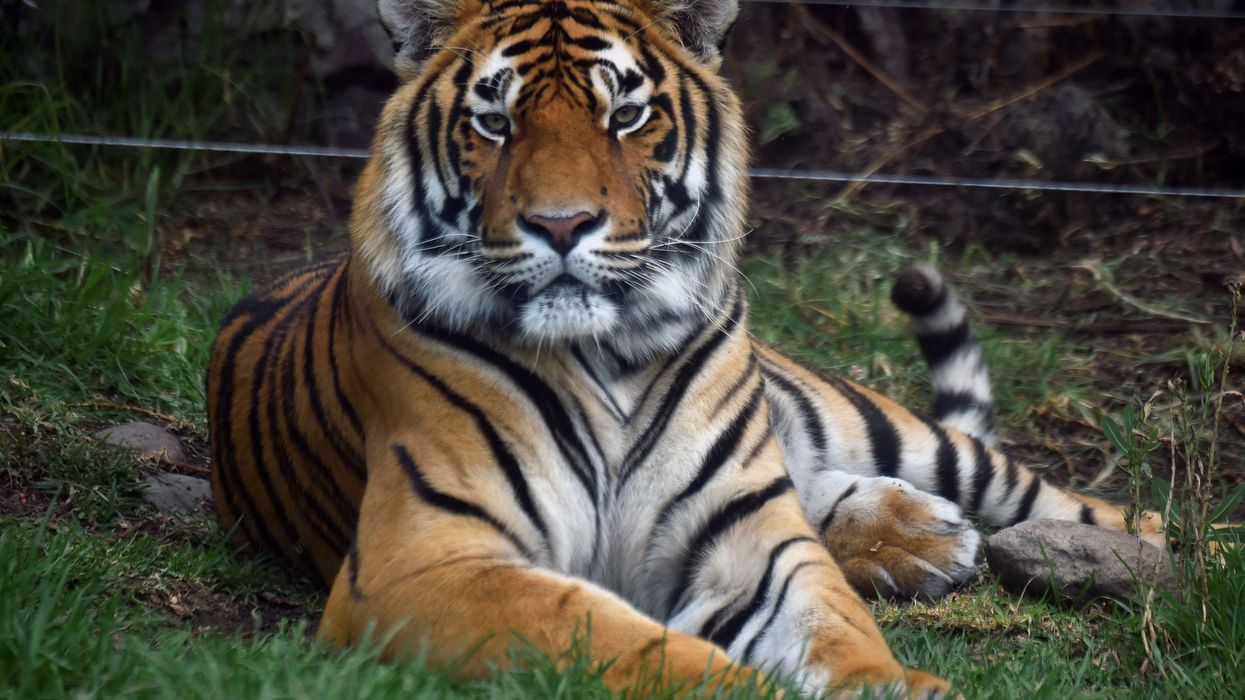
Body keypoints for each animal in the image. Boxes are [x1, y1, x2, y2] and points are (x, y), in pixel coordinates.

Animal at [206, 0, 1165, 695]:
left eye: (626, 116)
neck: (605, 354)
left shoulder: (751, 539)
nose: (562, 225)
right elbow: (623, 640)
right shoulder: (422, 563)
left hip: (884, 427)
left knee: (1081, 504)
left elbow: (836, 626)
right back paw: (921, 540)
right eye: (494, 124)